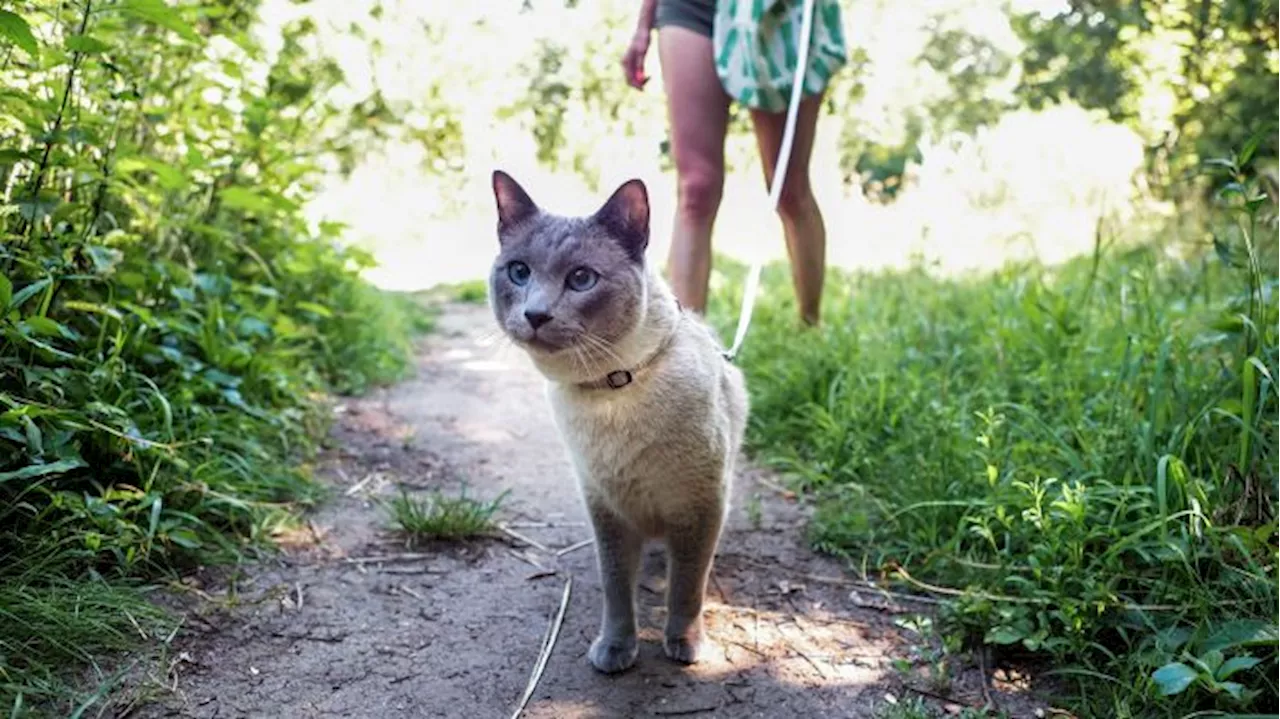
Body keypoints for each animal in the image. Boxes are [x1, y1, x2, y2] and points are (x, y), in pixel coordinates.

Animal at [486, 170, 747, 670]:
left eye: (581, 278)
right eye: (519, 272)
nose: (535, 314)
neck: (612, 390)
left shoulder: (700, 506)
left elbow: (688, 586)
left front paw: (685, 645)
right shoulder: (605, 507)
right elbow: (616, 587)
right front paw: (616, 649)